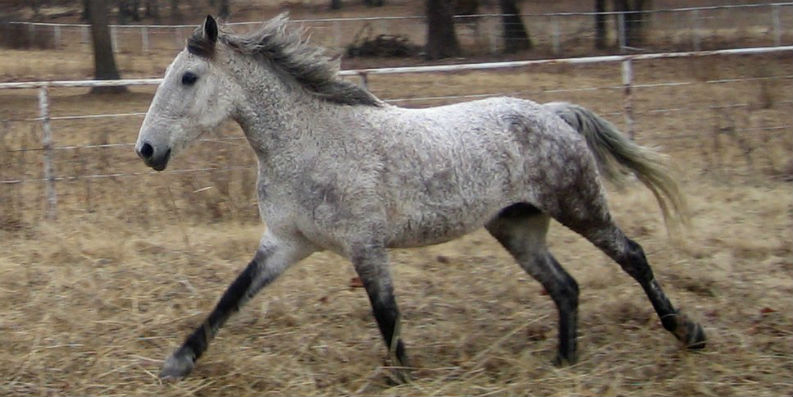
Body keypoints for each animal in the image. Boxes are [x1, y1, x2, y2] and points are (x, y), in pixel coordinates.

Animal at [135, 13, 704, 380]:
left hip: (579, 205)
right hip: (517, 227)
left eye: (188, 77)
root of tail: (552, 113)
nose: (146, 150)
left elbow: (387, 314)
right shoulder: (285, 243)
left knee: (633, 256)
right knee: (565, 286)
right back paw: (564, 362)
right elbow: (231, 297)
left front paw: (403, 376)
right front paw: (177, 363)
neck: (312, 142)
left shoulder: (365, 246)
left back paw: (688, 333)